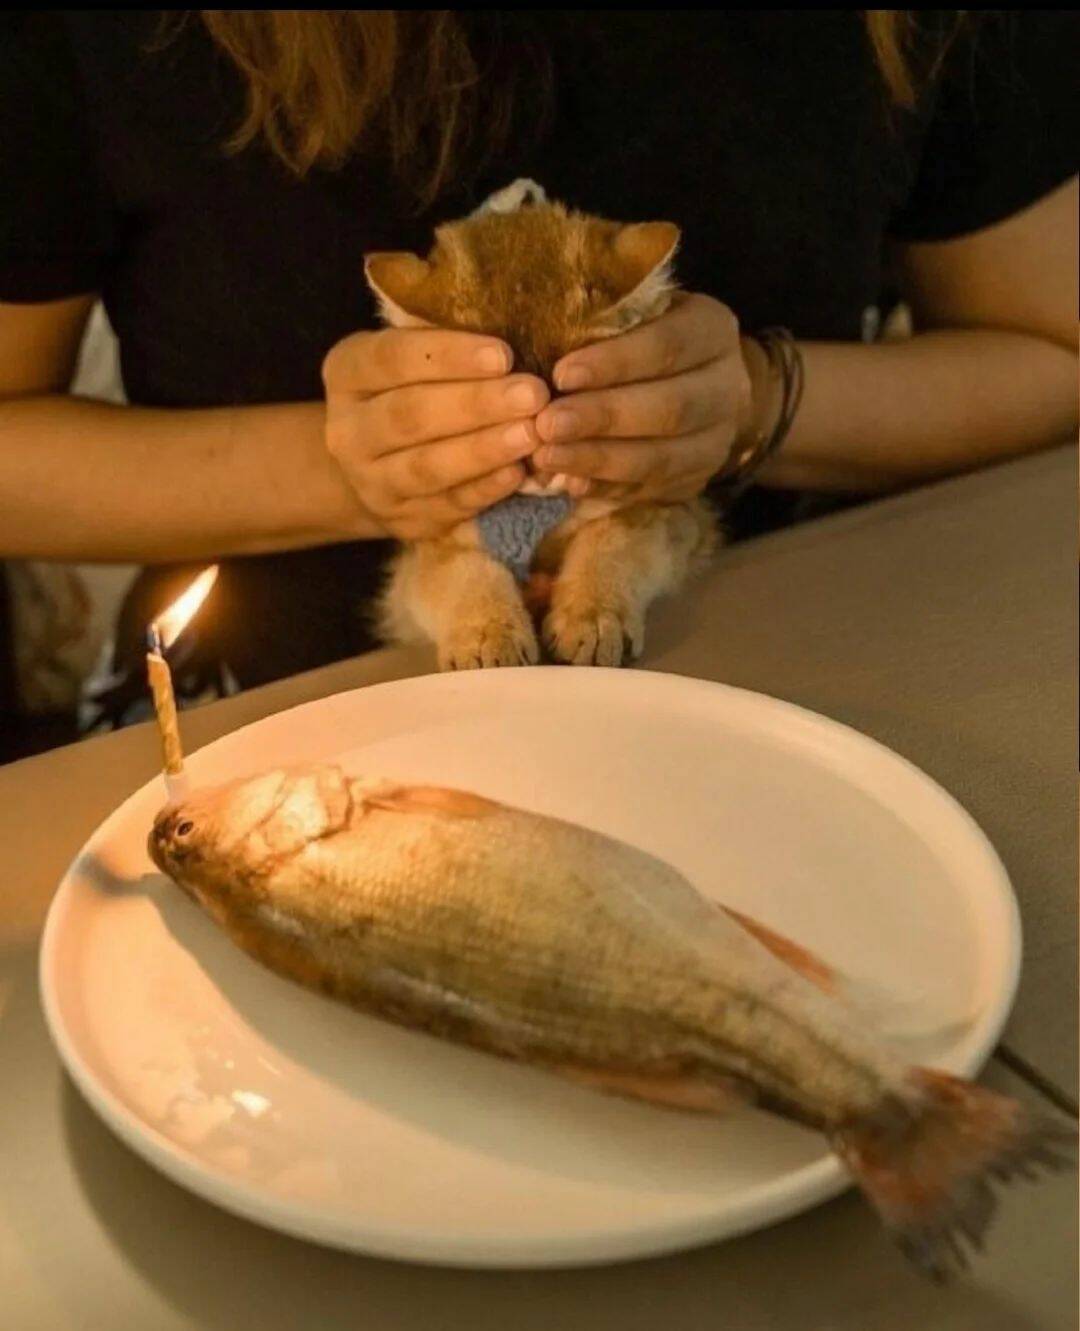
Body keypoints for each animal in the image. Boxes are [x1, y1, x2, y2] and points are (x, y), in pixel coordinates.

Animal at [364, 179, 717, 670]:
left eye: (572, 420)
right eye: (493, 427)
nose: (543, 475)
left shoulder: (670, 512)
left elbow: (612, 540)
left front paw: (594, 616)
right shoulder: (425, 551)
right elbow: (465, 573)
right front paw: (488, 635)